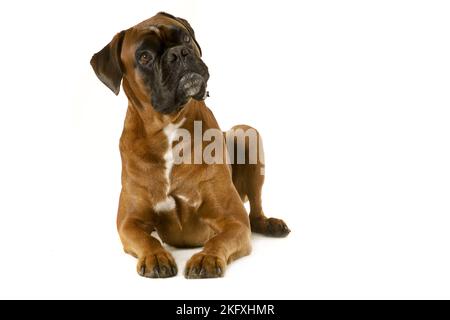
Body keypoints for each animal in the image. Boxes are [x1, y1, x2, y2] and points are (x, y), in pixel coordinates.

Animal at [89, 11, 290, 278]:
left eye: (184, 37)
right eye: (144, 56)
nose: (178, 53)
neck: (168, 127)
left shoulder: (233, 220)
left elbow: (218, 238)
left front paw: (206, 258)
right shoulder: (128, 222)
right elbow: (147, 239)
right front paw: (155, 256)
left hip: (247, 134)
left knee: (255, 212)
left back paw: (270, 224)